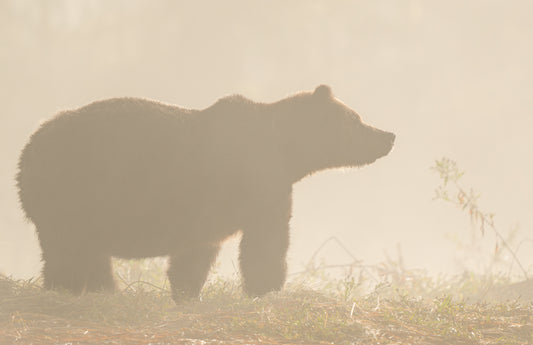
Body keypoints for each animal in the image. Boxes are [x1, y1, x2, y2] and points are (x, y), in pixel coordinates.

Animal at [16, 84, 392, 300]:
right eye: (357, 119)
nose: (389, 135)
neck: (287, 151)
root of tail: (28, 148)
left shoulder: (207, 210)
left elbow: (196, 253)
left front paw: (187, 292)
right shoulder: (261, 183)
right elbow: (266, 241)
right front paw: (267, 288)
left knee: (83, 251)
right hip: (74, 189)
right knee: (70, 249)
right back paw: (75, 287)